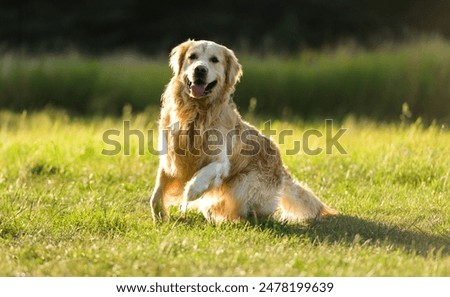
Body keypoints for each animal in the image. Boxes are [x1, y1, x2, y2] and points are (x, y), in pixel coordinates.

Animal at [149, 40, 336, 222]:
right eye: (192, 57)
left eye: (214, 60)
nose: (200, 69)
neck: (196, 112)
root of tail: (281, 167)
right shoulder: (169, 160)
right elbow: (156, 193)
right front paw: (159, 216)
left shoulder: (220, 162)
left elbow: (206, 172)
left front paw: (191, 190)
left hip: (244, 184)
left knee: (248, 208)